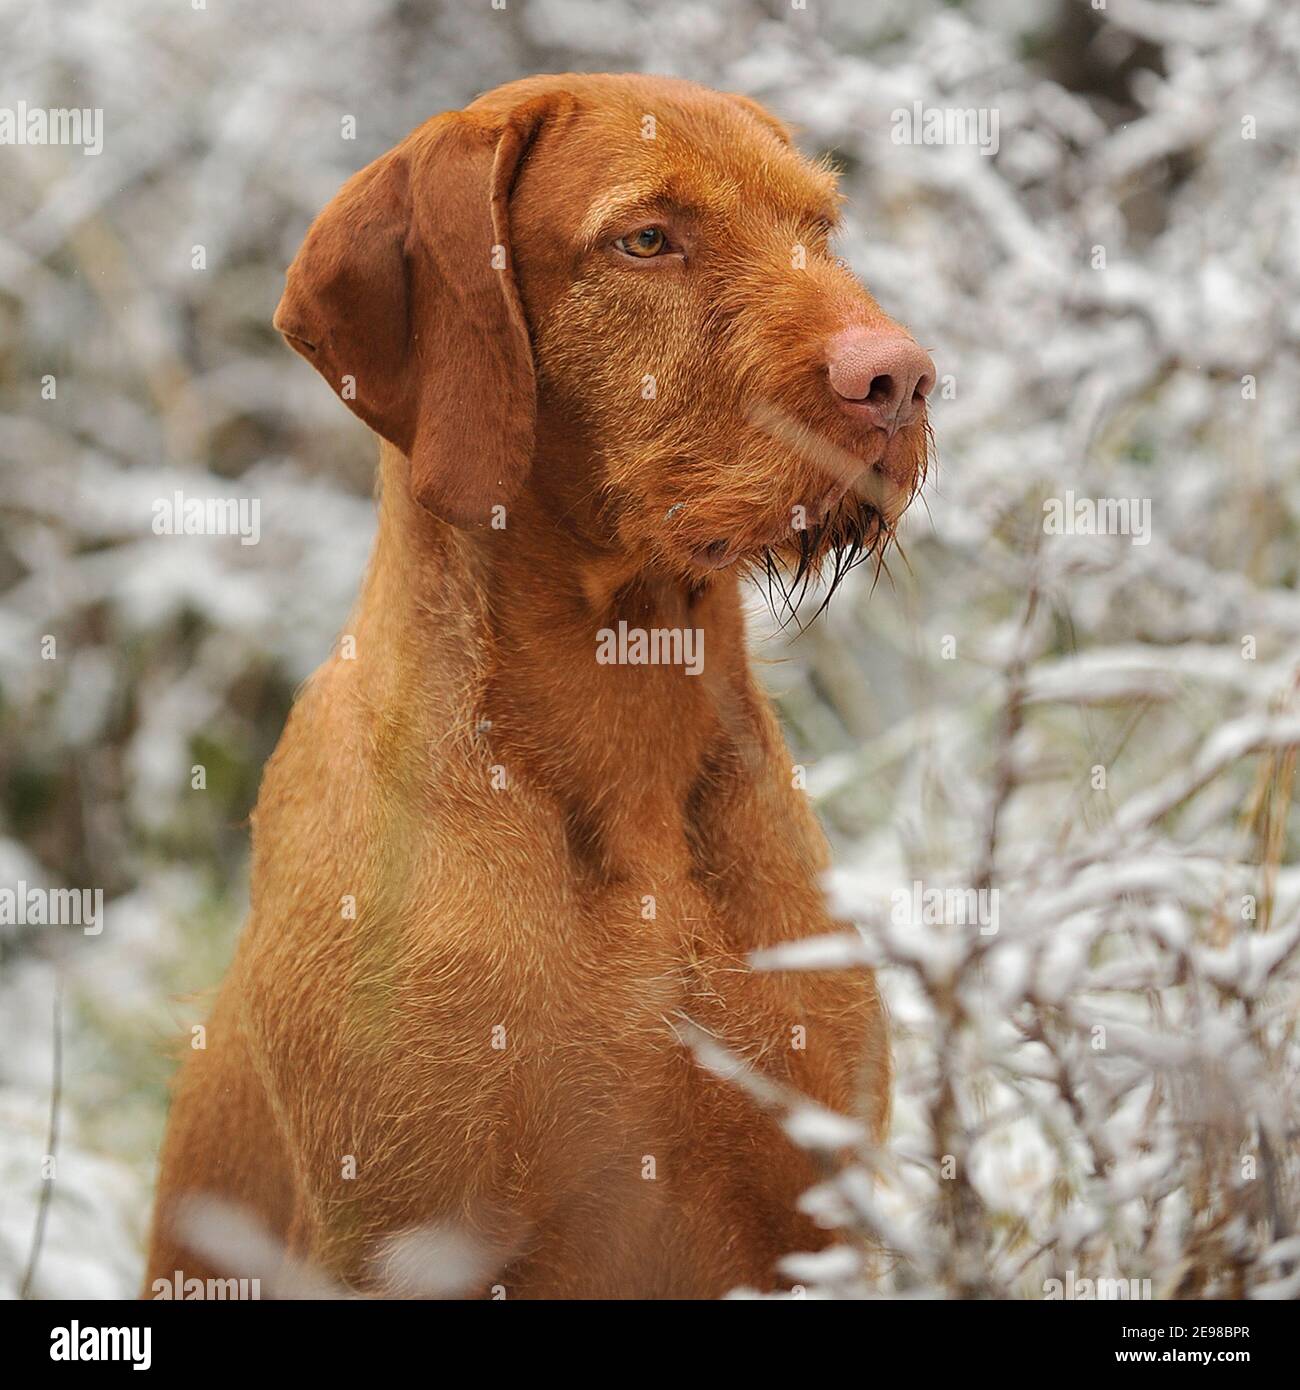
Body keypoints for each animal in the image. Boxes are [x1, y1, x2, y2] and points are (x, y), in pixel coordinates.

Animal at [144, 73, 934, 1289]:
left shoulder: (816, 1220)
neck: (627, 727)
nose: (897, 377)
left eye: (820, 227)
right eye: (645, 239)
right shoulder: (408, 1246)